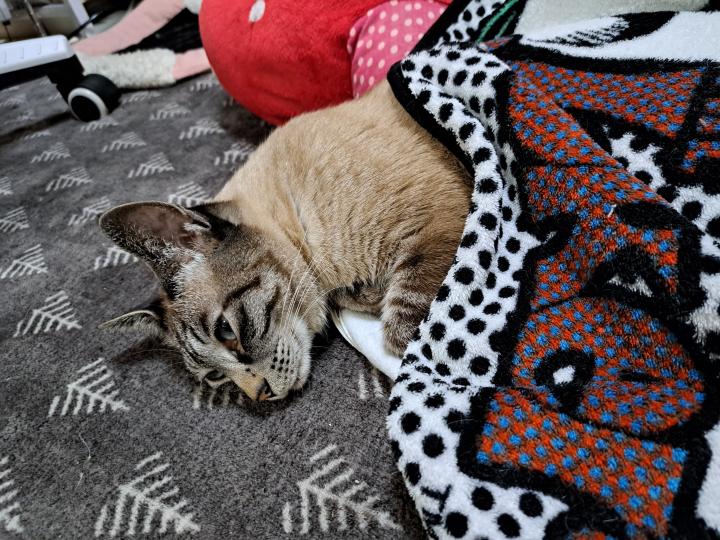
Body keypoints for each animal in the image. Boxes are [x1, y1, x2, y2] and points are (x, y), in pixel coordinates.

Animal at [99, 80, 471, 401]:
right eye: (215, 377)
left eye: (227, 332)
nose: (260, 395)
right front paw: (362, 294)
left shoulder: (435, 224)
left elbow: (405, 336)